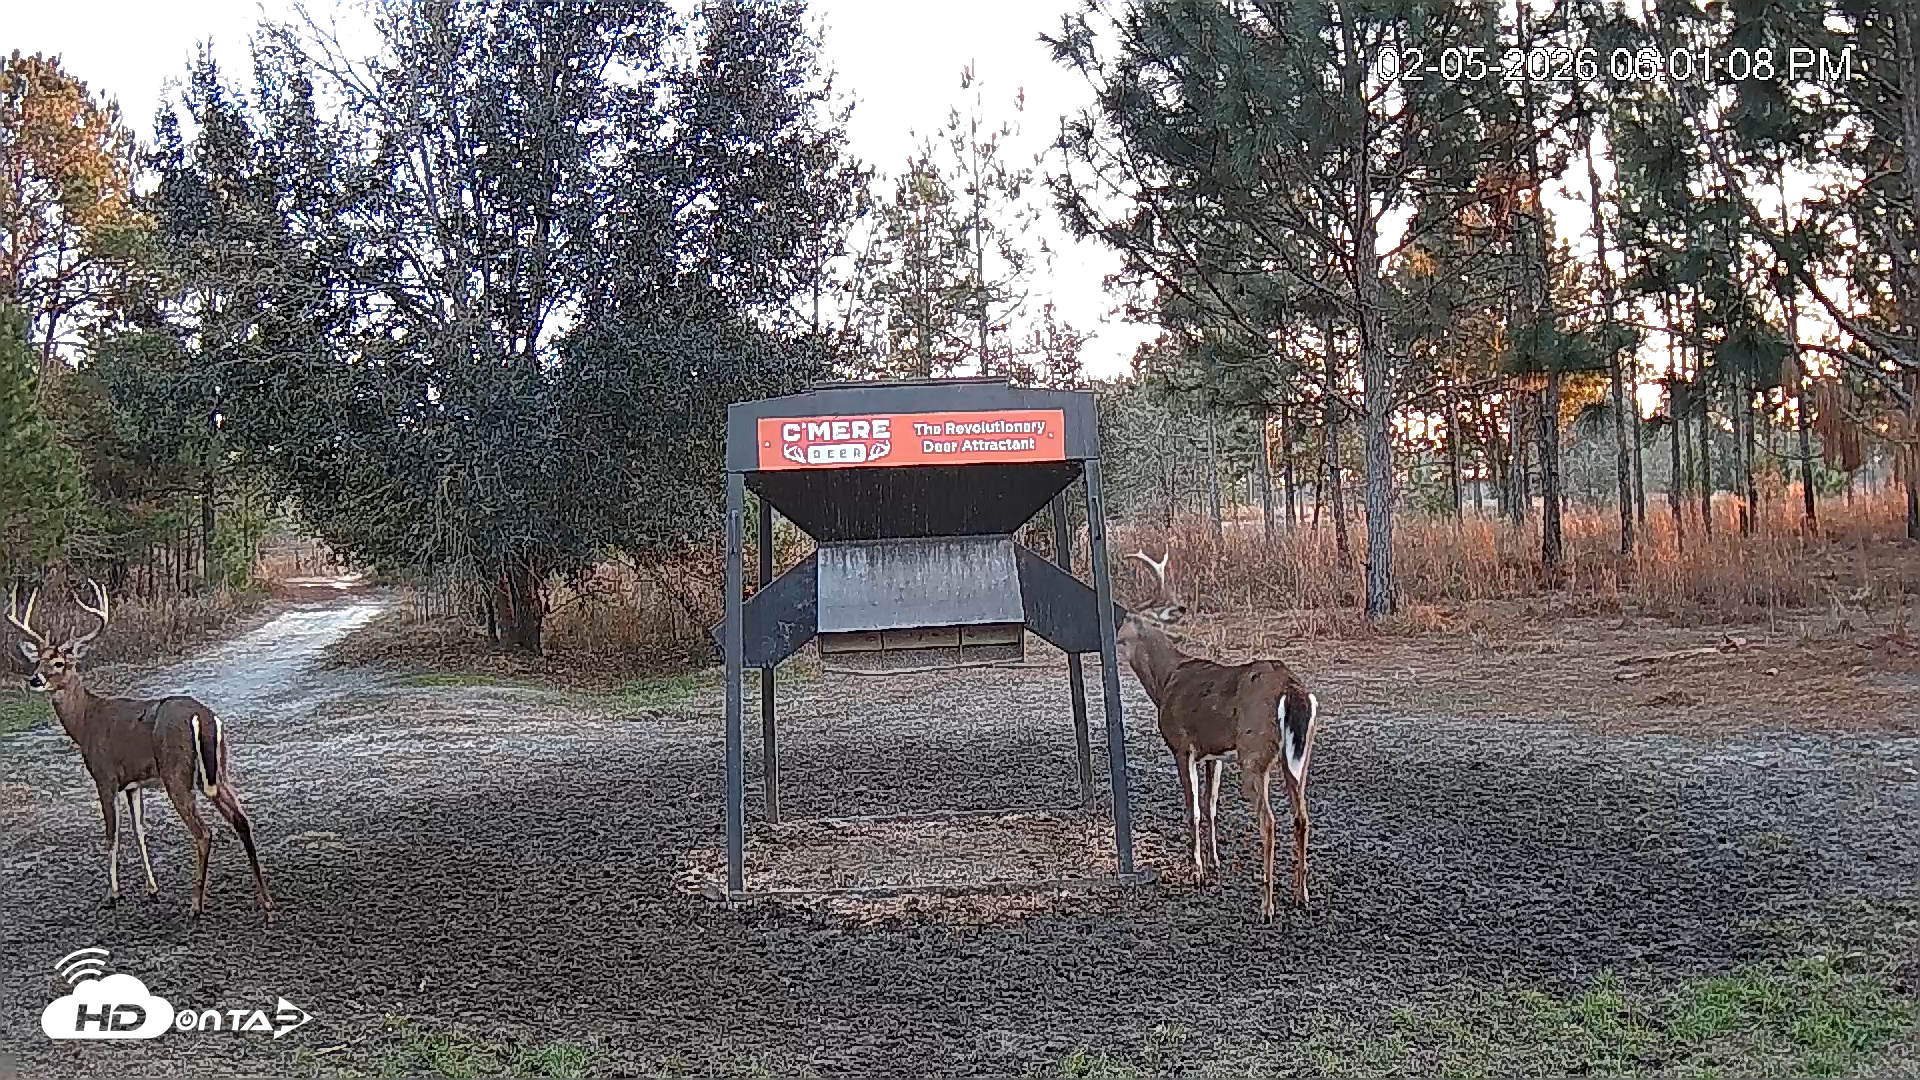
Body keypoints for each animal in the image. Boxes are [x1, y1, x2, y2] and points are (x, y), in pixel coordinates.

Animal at [8, 581, 276, 922]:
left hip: (176, 773)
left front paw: (112, 894)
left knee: (204, 833)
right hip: (217, 772)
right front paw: (152, 889)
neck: (85, 722)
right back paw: (266, 903)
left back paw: (196, 905)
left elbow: (112, 833)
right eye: (37, 660)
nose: (35, 679)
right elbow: (139, 830)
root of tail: (203, 717)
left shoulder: (105, 776)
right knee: (241, 819)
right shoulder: (133, 784)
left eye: (59, 663)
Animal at [1116, 551, 1320, 922]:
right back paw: (1302, 896)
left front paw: (1196, 871)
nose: (1110, 639)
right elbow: (1211, 806)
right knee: (1302, 817)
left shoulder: (1182, 746)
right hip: (1299, 756)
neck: (1165, 680)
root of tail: (1291, 688)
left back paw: (1267, 907)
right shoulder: (1215, 755)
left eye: (1123, 622)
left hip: (1253, 752)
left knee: (1269, 822)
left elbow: (1193, 809)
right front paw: (1215, 863)